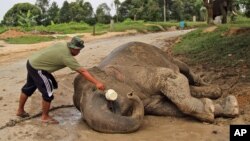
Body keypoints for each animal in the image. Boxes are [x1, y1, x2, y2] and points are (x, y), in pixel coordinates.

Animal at [73, 41, 240, 133]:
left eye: (96, 89)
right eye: (82, 114)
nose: (130, 95)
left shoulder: (137, 74)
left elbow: (171, 77)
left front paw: (216, 109)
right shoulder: (149, 101)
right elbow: (165, 107)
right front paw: (226, 107)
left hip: (166, 55)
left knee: (184, 71)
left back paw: (212, 86)